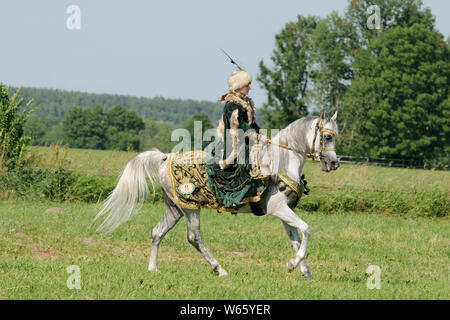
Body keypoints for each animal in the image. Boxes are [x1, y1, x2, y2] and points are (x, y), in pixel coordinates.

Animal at [92, 111, 338, 278]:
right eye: (327, 138)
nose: (334, 163)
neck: (281, 161)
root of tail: (166, 157)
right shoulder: (278, 208)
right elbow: (306, 230)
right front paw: (293, 266)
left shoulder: (285, 211)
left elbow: (297, 239)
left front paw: (305, 273)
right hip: (190, 207)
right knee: (194, 238)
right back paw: (219, 269)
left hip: (174, 208)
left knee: (157, 232)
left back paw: (153, 268)